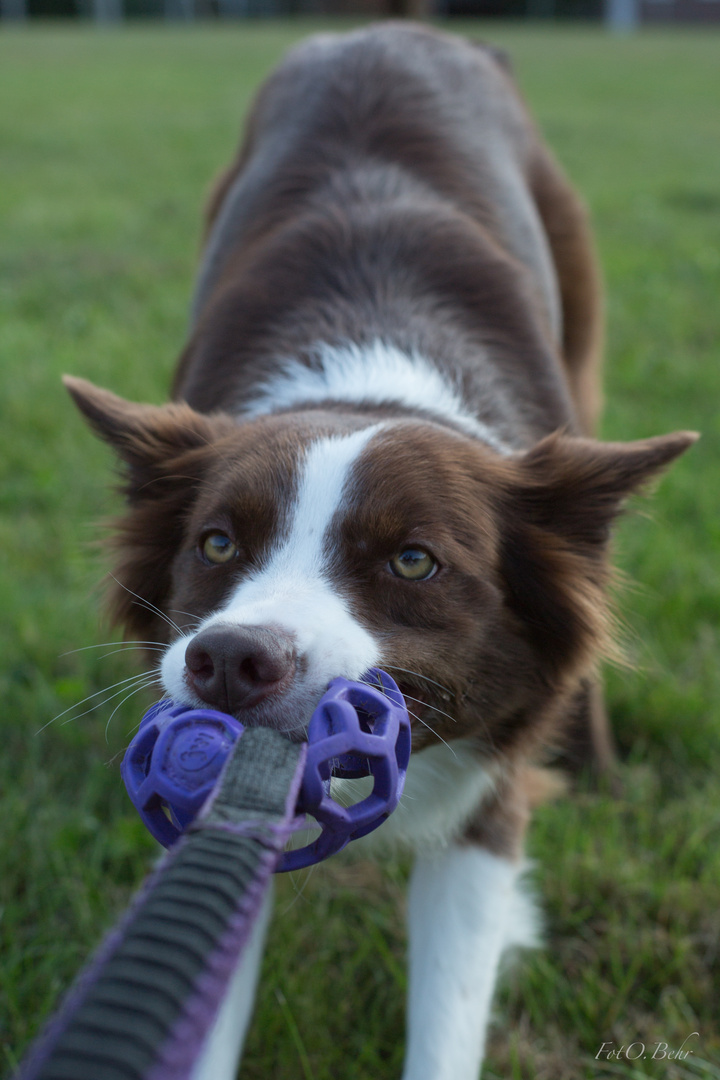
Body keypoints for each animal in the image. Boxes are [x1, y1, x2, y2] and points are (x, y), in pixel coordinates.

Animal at [63, 25, 699, 1080]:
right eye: (217, 542)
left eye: (413, 562)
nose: (228, 661)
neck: (372, 372)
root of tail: (397, 32)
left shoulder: (488, 799)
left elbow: (448, 1013)